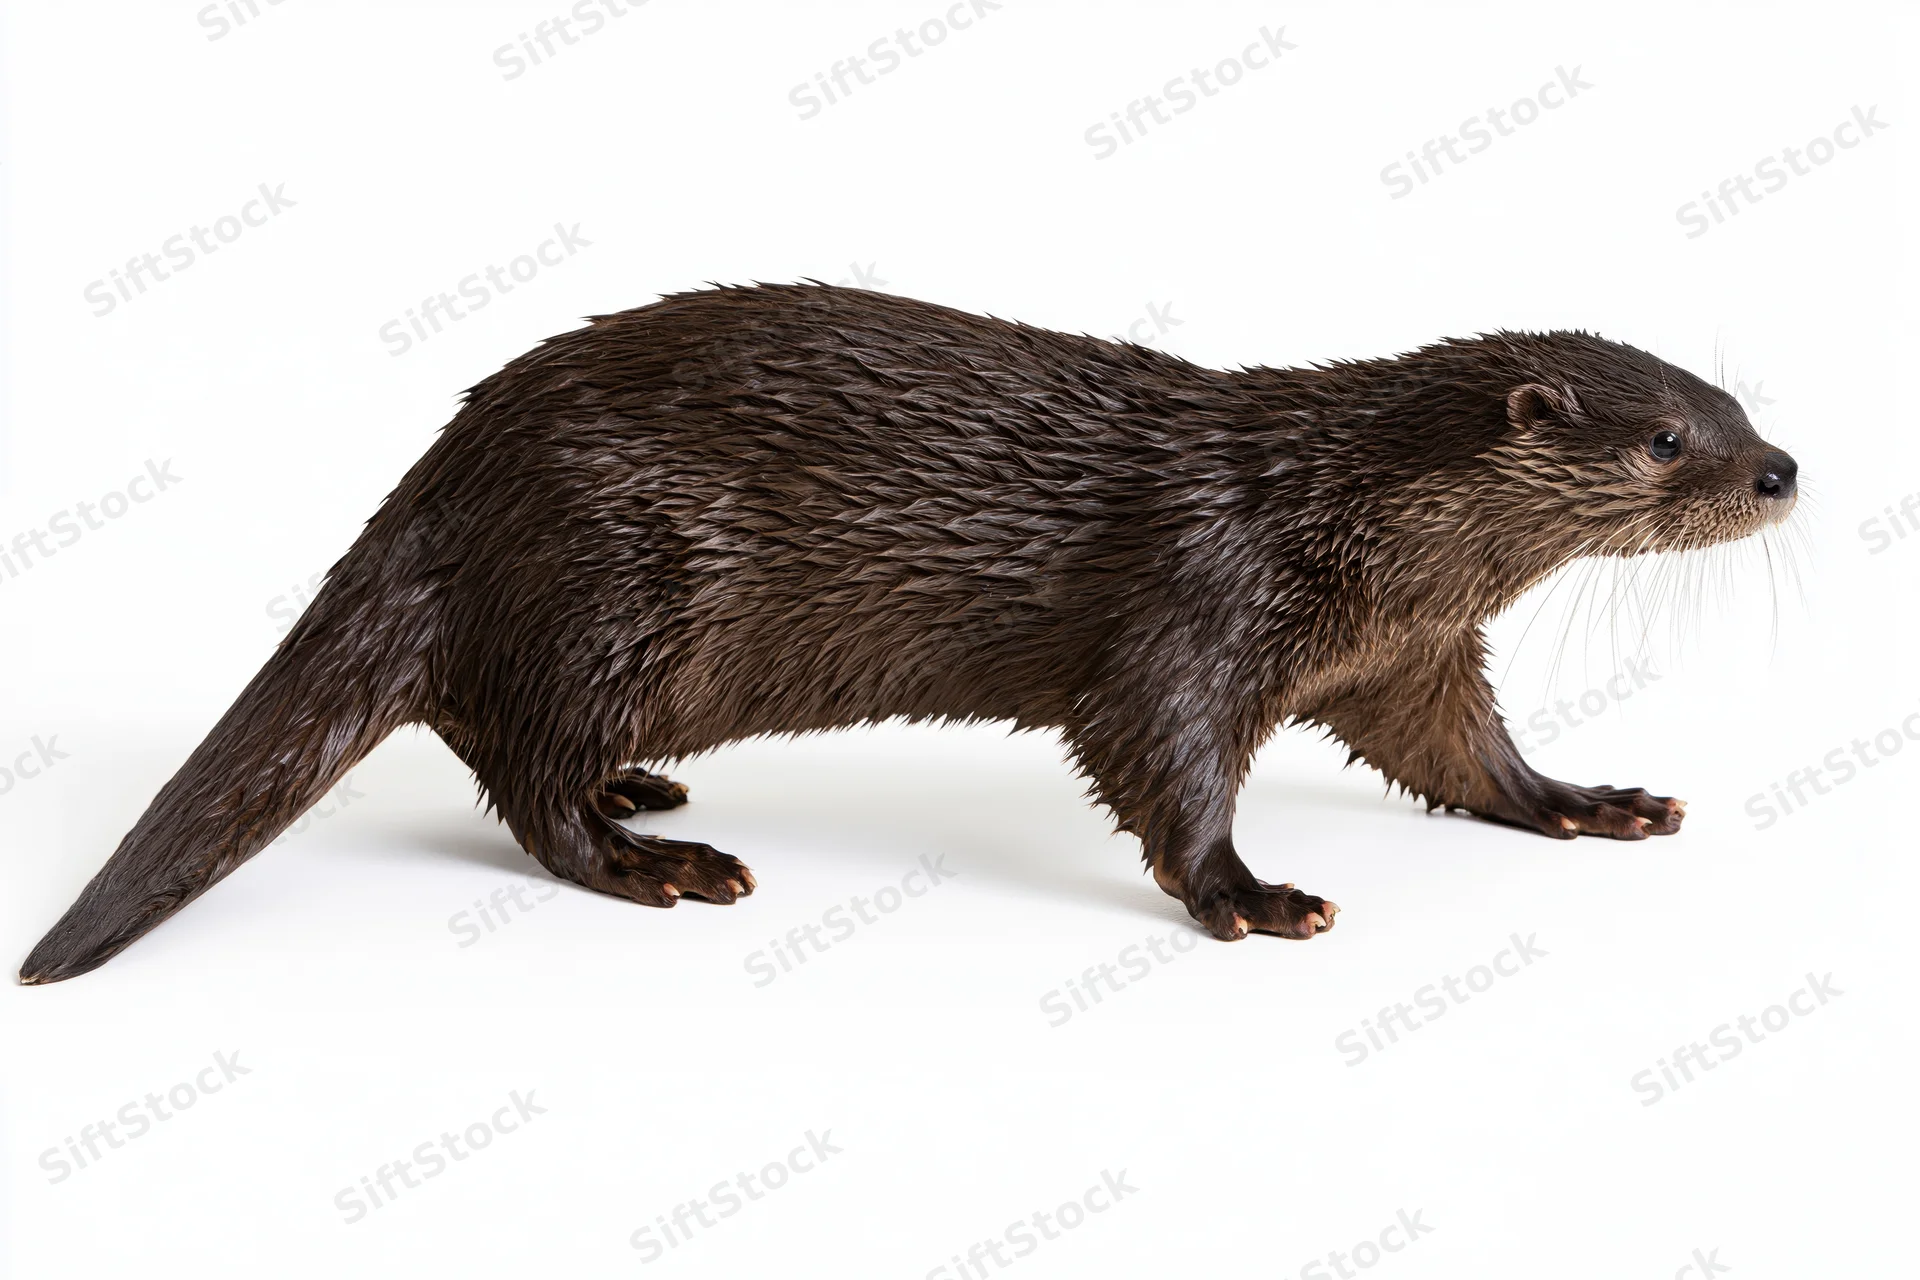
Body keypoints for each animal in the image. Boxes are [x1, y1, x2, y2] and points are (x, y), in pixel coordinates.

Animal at [20, 284, 1798, 983]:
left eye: (1736, 401)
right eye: (1666, 440)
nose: (1782, 469)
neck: (1335, 517)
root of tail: (442, 483)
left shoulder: (1405, 653)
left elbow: (1466, 754)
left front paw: (1592, 803)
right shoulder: (1198, 601)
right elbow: (1160, 762)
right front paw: (1250, 896)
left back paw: (643, 796)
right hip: (621, 580)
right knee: (518, 764)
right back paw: (662, 860)